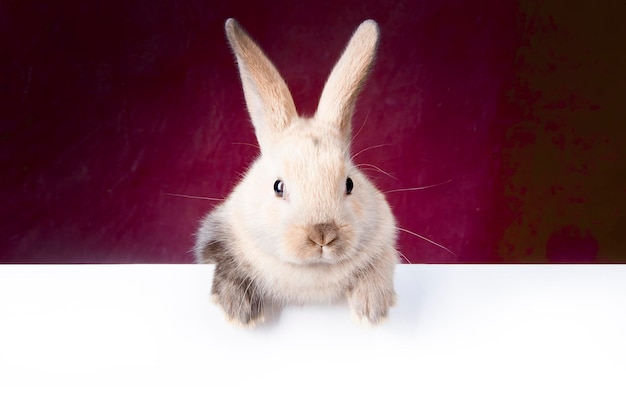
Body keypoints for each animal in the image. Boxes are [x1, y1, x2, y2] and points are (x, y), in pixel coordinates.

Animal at [195, 18, 398, 324]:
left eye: (349, 184)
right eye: (278, 186)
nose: (322, 234)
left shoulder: (383, 242)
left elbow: (380, 266)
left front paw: (372, 308)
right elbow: (225, 262)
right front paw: (241, 311)